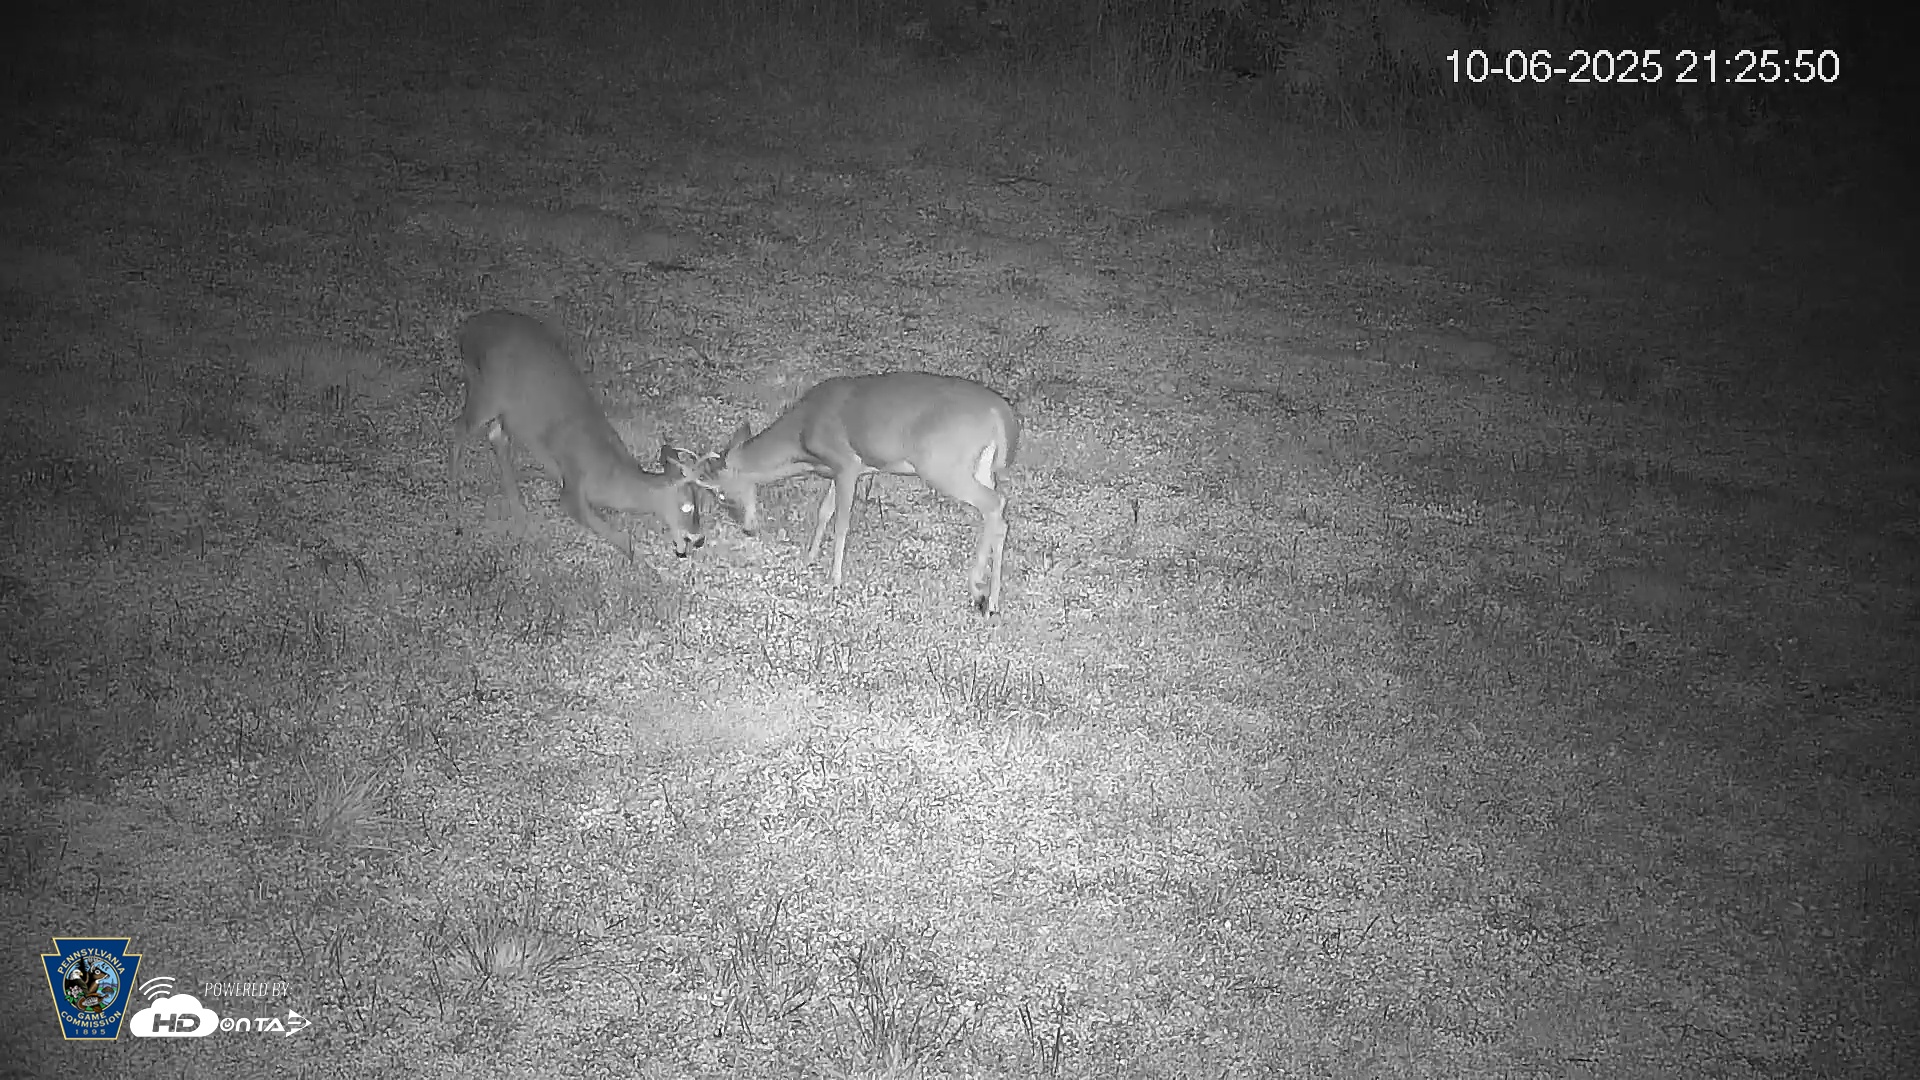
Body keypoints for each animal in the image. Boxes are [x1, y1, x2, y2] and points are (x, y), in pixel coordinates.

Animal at [449, 310, 704, 561]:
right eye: (687, 506)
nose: (699, 538)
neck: (609, 476)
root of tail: (467, 329)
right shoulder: (573, 481)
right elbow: (613, 533)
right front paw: (639, 559)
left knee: (496, 436)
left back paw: (517, 507)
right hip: (486, 390)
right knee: (460, 427)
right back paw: (457, 491)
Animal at [696, 372, 1019, 615]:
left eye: (720, 495)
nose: (747, 529)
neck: (801, 439)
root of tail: (1000, 413)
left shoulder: (846, 462)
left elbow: (841, 522)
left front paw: (834, 579)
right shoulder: (844, 469)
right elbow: (824, 511)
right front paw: (809, 558)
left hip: (941, 465)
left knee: (993, 504)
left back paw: (977, 588)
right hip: (979, 467)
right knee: (1001, 513)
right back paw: (991, 600)